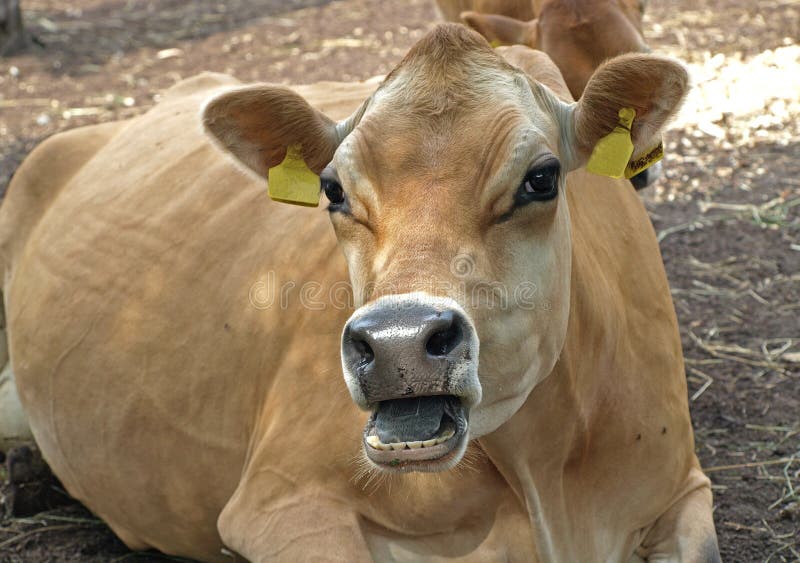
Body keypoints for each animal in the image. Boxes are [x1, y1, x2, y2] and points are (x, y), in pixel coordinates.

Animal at [0, 25, 718, 562]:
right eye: (333, 189)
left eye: (542, 177)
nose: (399, 341)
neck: (548, 482)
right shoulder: (279, 501)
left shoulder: (682, 487)